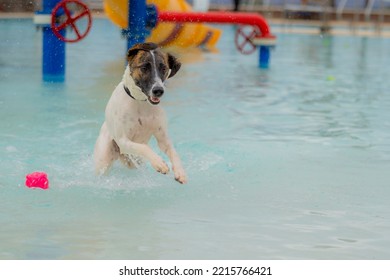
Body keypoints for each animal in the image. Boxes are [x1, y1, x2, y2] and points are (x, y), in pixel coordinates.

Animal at [93, 42, 187, 184]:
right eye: (144, 67)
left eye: (164, 68)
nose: (158, 90)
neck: (141, 102)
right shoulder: (123, 141)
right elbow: (144, 147)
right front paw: (159, 163)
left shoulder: (163, 139)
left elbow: (174, 152)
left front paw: (180, 171)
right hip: (104, 157)